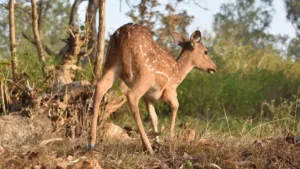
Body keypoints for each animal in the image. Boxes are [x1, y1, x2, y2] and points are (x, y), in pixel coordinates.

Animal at [88, 23, 217, 154]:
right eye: (206, 52)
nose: (214, 67)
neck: (178, 74)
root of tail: (122, 32)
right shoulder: (170, 91)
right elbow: (176, 106)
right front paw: (170, 139)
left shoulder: (148, 96)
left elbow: (154, 117)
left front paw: (158, 141)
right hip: (146, 74)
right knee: (131, 96)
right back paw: (148, 148)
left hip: (111, 62)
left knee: (100, 87)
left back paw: (91, 143)